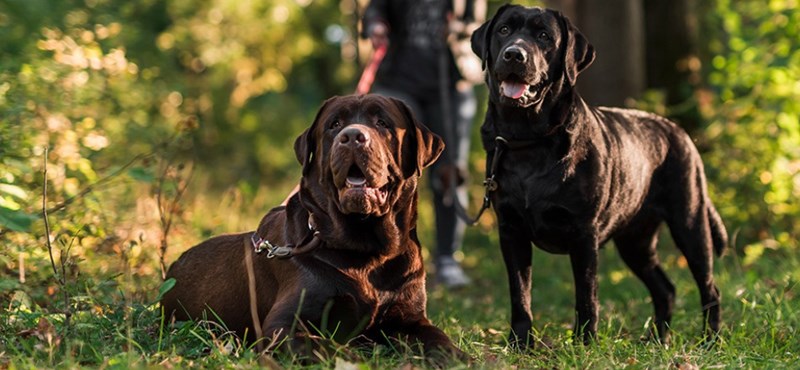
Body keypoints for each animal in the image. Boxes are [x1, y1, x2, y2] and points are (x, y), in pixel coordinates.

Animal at [472, 5, 728, 346]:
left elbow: (586, 295)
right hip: (635, 242)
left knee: (709, 287)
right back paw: (657, 340)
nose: (515, 54)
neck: (528, 139)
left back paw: (710, 339)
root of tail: (678, 130)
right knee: (666, 288)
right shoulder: (511, 231)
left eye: (544, 36)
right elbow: (520, 294)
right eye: (503, 30)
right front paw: (520, 344)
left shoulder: (584, 232)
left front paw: (585, 342)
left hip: (690, 223)